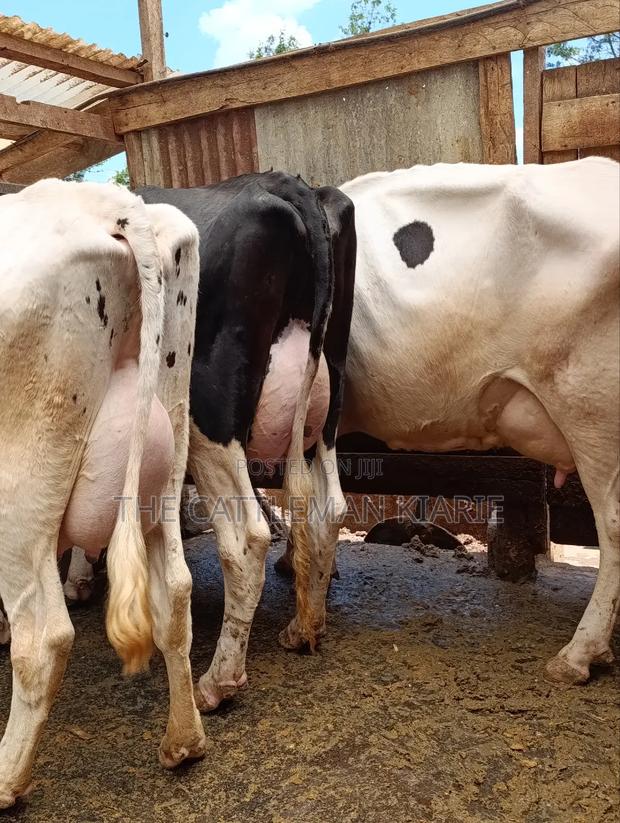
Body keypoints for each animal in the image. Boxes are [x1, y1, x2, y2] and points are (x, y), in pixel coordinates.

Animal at [0, 179, 205, 809]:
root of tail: (113, 207)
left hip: (17, 486)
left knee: (43, 637)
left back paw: (6, 781)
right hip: (168, 441)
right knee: (175, 591)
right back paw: (183, 740)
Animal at [139, 172, 356, 711]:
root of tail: (285, 184)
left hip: (209, 419)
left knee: (247, 539)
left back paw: (218, 680)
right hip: (328, 404)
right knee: (329, 506)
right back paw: (305, 627)